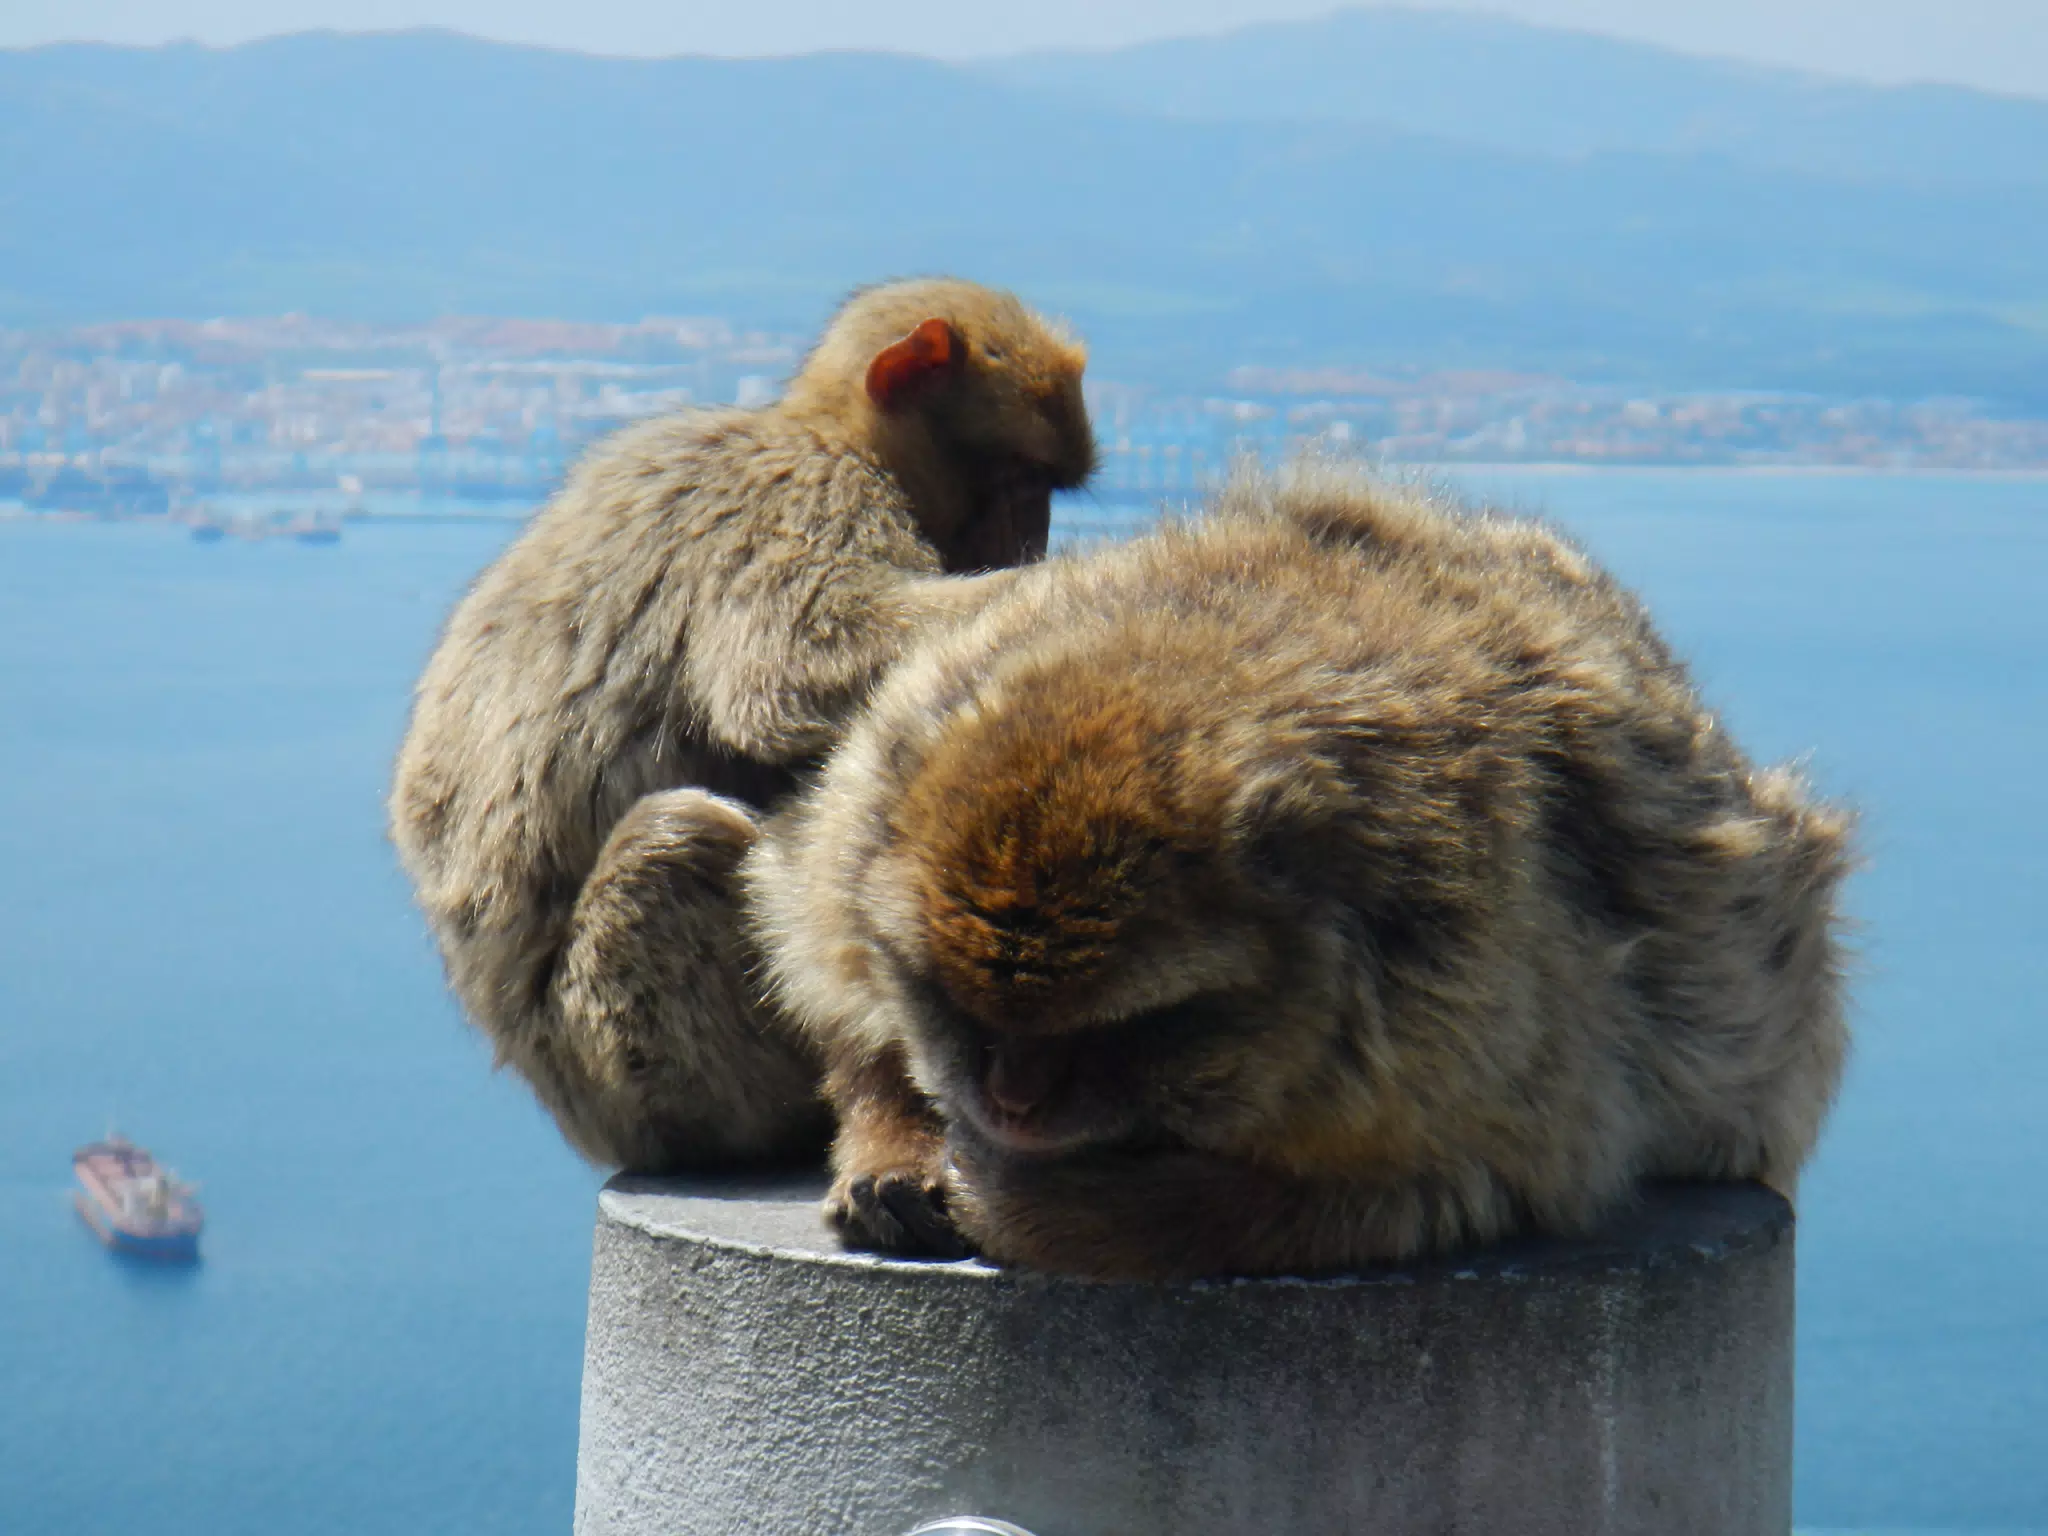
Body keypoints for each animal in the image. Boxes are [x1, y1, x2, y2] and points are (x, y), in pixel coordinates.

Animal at [388, 278, 1095, 1173]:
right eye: (1024, 479)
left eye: (1045, 490)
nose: (1031, 541)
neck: (822, 429)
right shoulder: (808, 490)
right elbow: (787, 675)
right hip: (635, 1074)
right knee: (676, 844)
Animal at [744, 462, 1853, 1280]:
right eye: (952, 1003)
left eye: (1129, 1026)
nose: (1011, 1100)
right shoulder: (864, 800)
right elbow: (836, 983)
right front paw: (896, 1139)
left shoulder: (1466, 1012)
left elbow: (1444, 1190)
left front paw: (1043, 1207)